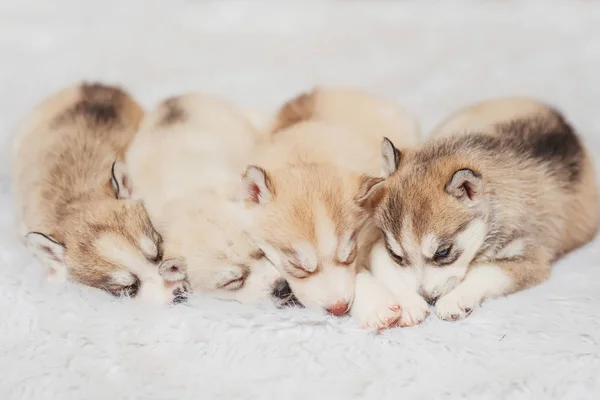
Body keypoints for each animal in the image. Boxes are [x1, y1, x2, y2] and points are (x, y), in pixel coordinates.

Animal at [376, 97, 600, 322]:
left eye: (443, 252)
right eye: (396, 255)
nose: (427, 297)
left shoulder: (531, 257)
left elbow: (485, 271)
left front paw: (454, 299)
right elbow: (390, 271)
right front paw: (409, 302)